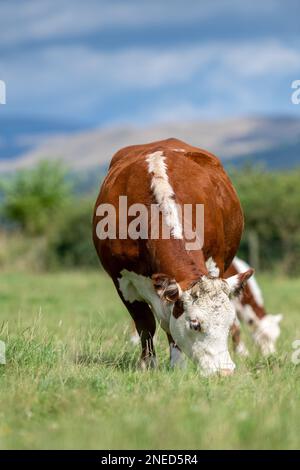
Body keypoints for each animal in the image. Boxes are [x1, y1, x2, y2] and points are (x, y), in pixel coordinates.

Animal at [93, 138, 253, 376]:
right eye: (195, 324)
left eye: (229, 321)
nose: (224, 371)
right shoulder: (121, 279)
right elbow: (145, 324)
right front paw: (148, 364)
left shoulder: (213, 265)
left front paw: (177, 365)